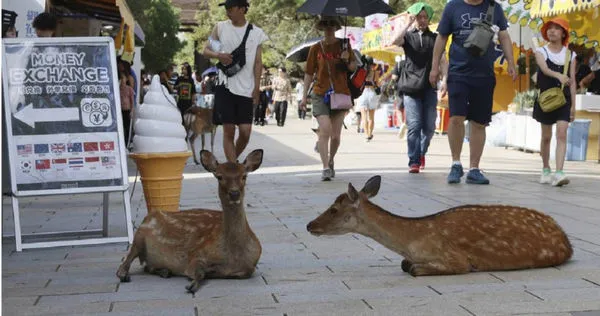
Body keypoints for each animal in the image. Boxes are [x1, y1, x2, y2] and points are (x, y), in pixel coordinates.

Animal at [116, 149, 262, 292]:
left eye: (244, 176)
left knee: (146, 266)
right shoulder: (195, 254)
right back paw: (126, 275)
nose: (234, 193)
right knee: (124, 262)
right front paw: (192, 284)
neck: (234, 256)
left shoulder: (250, 265)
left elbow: (247, 271)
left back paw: (164, 271)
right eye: (219, 176)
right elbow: (199, 272)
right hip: (139, 235)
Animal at [308, 175, 576, 276]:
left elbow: (414, 269)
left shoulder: (455, 259)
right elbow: (405, 264)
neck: (413, 242)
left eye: (334, 209)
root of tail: (567, 240)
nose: (309, 225)